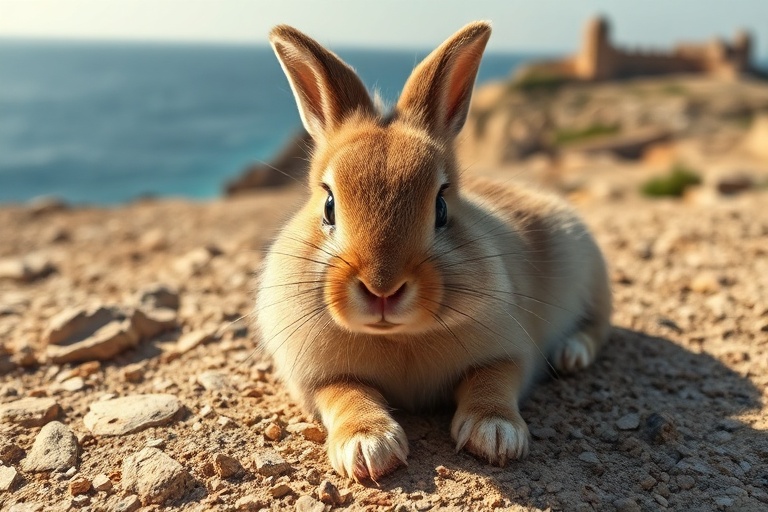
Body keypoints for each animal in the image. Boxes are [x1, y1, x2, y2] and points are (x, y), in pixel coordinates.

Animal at [256, 21, 612, 482]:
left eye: (441, 207)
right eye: (329, 205)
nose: (382, 289)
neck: (398, 336)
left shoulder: (510, 353)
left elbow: (492, 383)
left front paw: (494, 435)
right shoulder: (318, 380)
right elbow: (347, 394)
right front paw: (369, 446)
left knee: (598, 328)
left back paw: (571, 353)